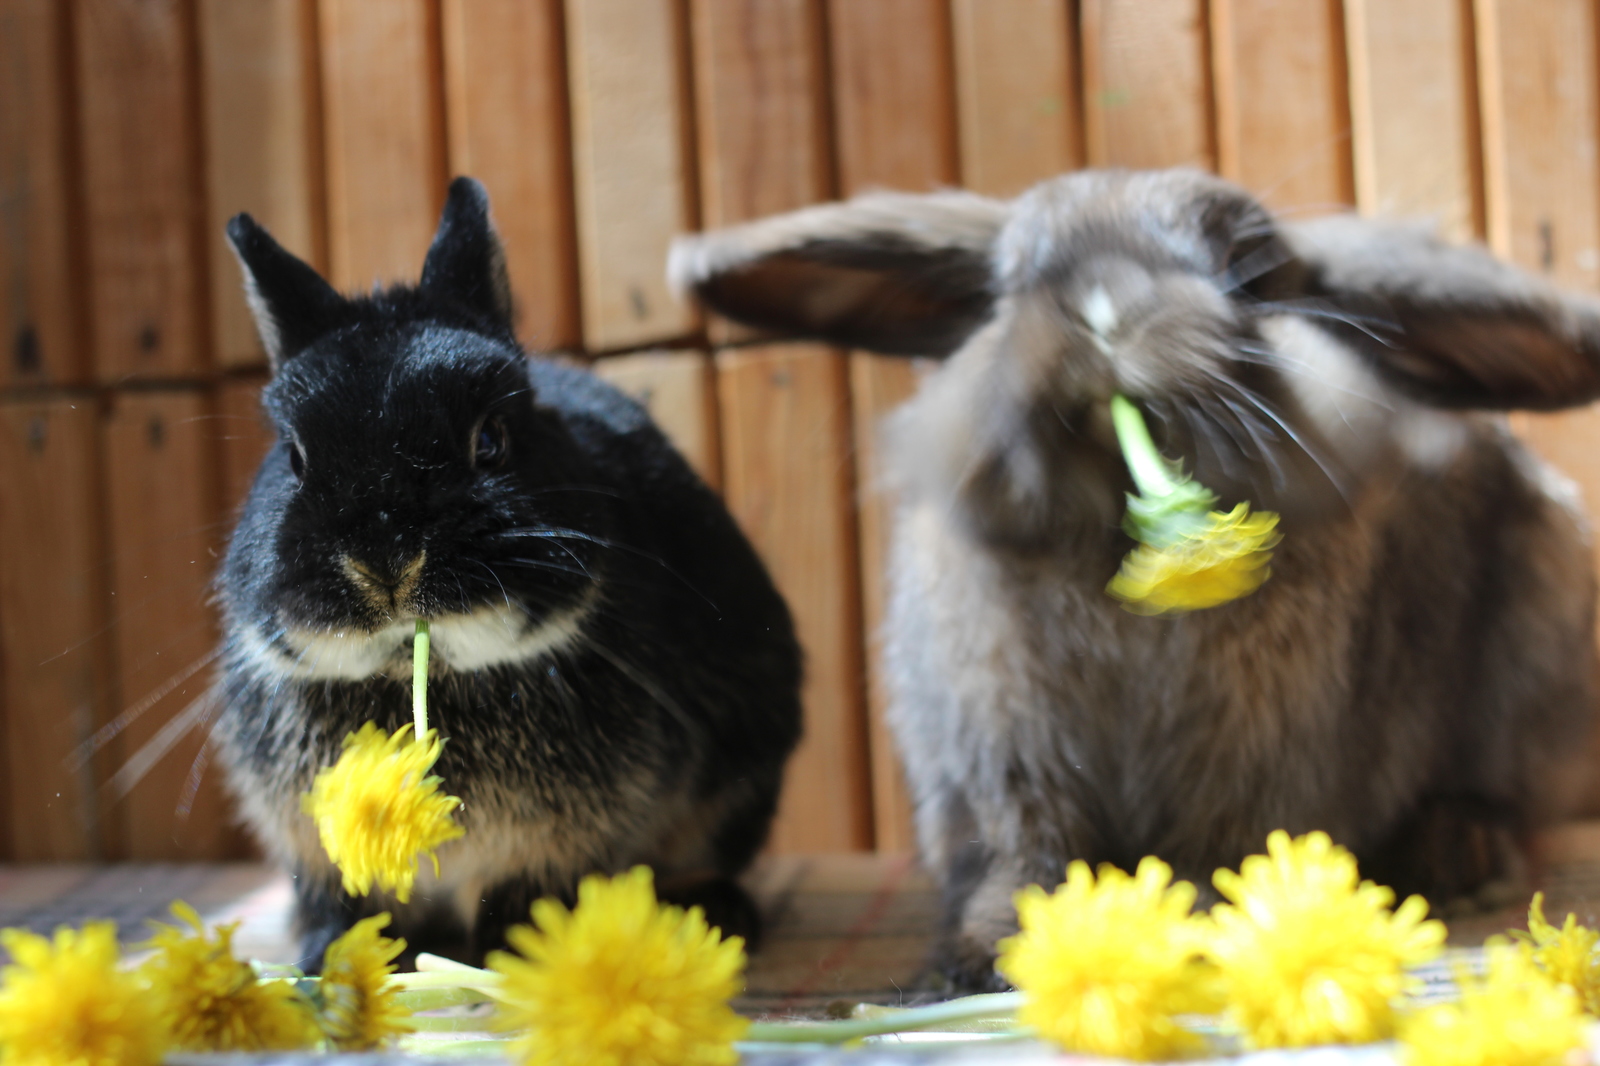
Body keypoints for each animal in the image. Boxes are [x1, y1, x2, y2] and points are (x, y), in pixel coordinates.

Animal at [216, 178, 800, 966]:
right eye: (294, 456)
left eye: (490, 439)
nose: (386, 561)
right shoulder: (312, 847)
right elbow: (341, 902)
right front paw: (335, 958)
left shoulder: (555, 846)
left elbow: (523, 900)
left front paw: (509, 957)